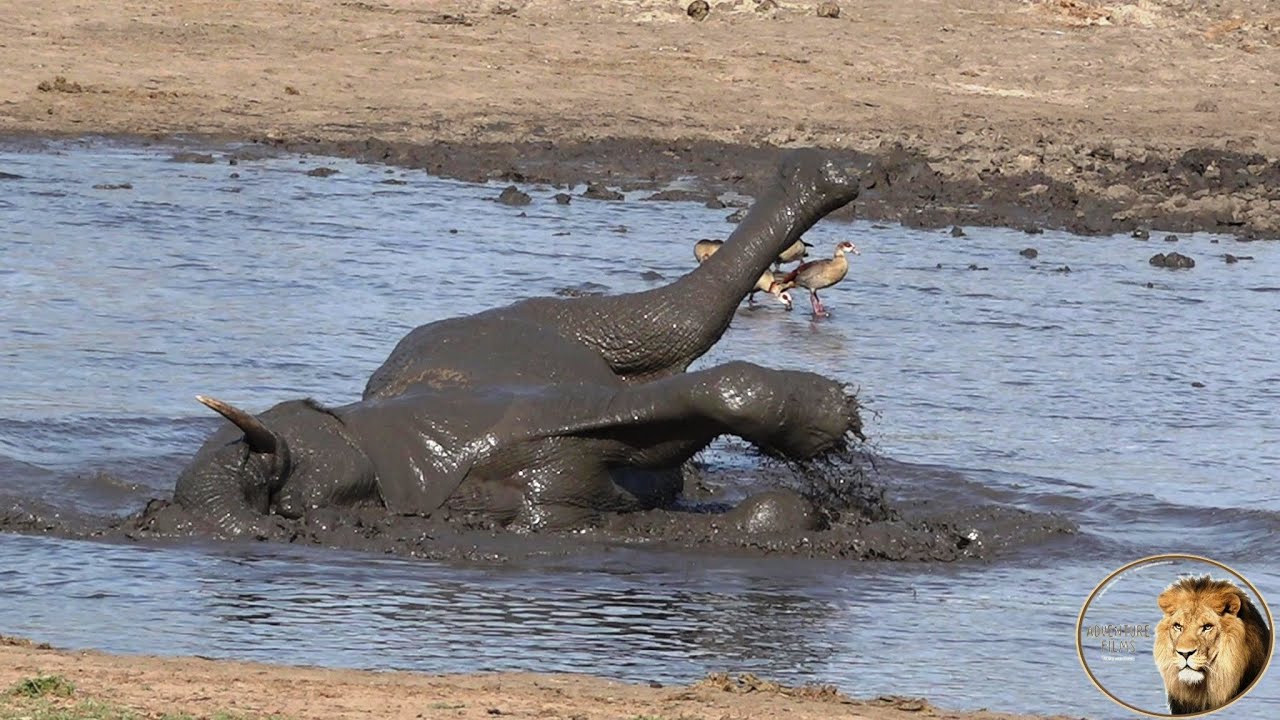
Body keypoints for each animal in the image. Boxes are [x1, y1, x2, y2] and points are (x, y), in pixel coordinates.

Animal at [171, 149, 866, 538]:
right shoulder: (534, 492)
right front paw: (803, 480)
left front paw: (830, 420)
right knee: (678, 330)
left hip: (517, 322)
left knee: (673, 320)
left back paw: (825, 174)